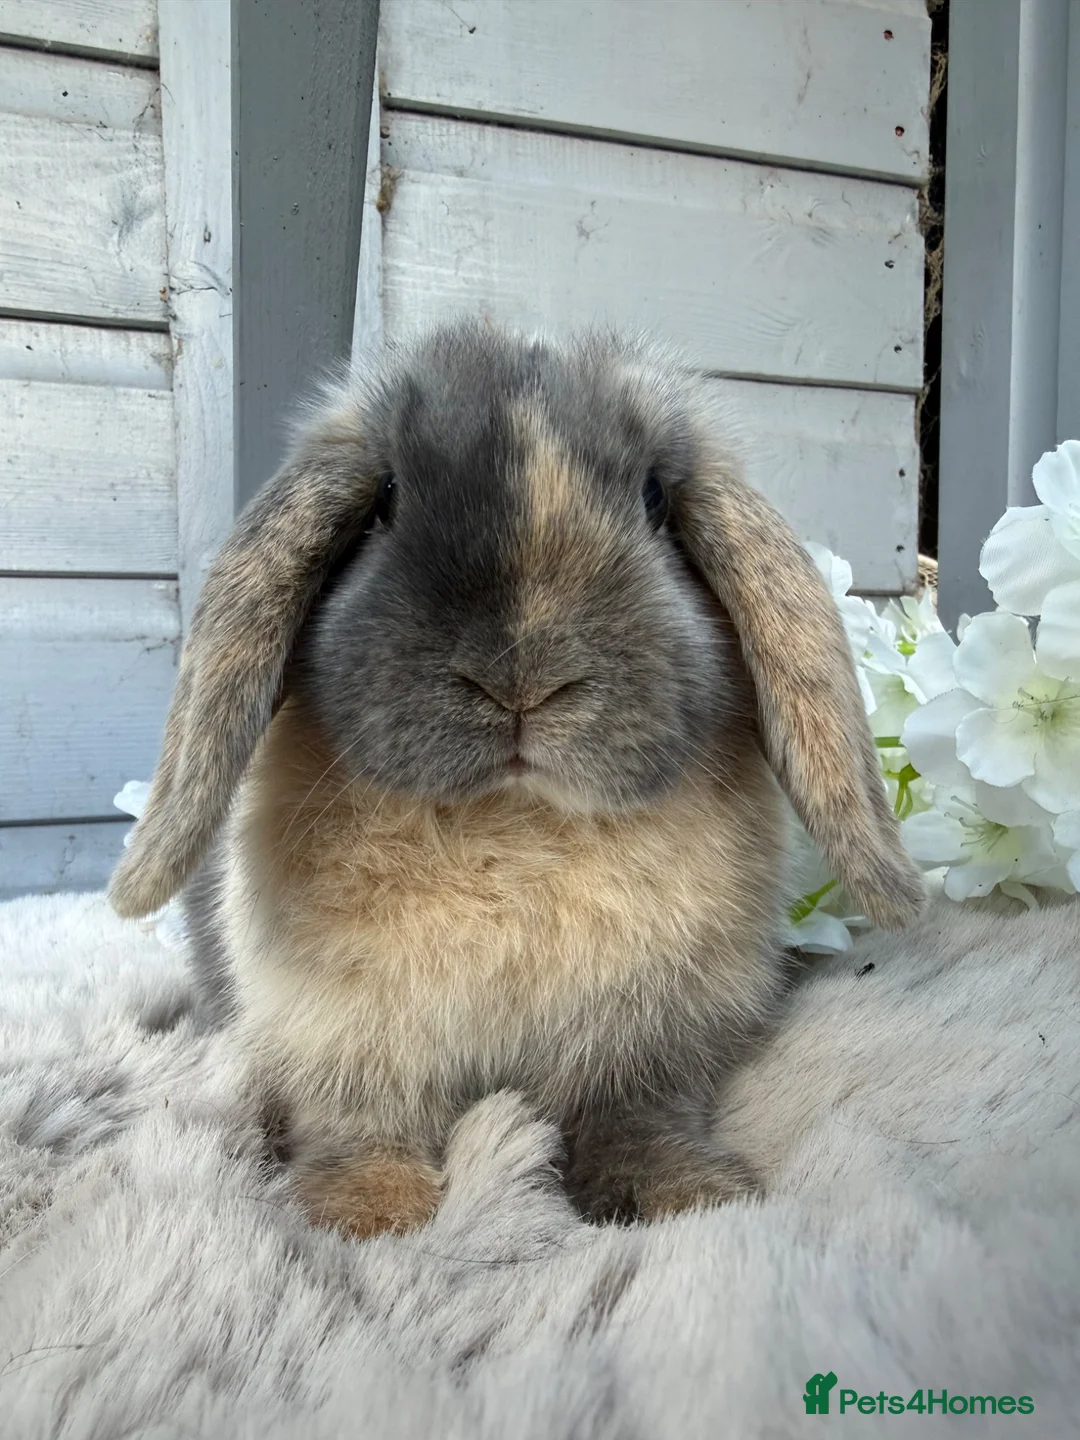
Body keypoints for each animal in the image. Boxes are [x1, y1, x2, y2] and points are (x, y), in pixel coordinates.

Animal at [109, 322, 923, 1237]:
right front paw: (368, 1212)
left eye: (655, 501)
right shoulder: (346, 1037)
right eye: (386, 497)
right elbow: (364, 1122)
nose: (523, 681)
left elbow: (635, 1116)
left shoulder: (652, 1038)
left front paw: (681, 1195)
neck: (515, 820)